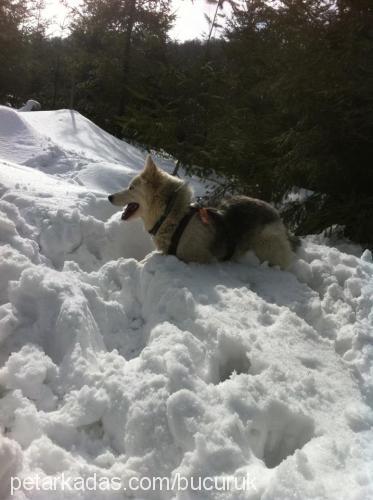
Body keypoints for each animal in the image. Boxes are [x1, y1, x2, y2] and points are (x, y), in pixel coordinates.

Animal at [107, 156, 296, 268]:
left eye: (131, 188)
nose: (109, 197)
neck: (172, 214)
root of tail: (275, 213)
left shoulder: (199, 258)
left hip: (267, 247)